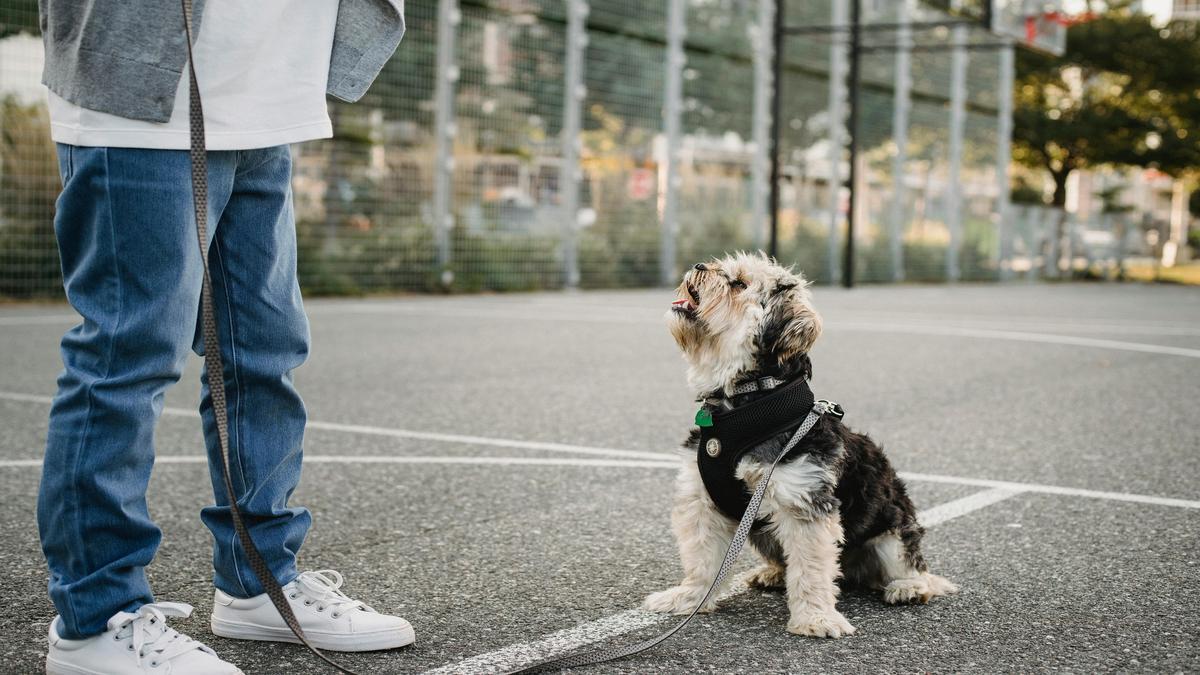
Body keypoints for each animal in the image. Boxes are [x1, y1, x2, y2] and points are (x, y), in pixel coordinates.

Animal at [648, 249, 955, 634]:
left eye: (739, 284)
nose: (699, 266)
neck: (746, 407)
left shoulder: (804, 504)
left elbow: (811, 569)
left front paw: (815, 617)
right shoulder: (702, 503)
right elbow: (702, 561)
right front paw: (689, 599)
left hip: (893, 530)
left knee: (910, 564)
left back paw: (909, 587)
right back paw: (772, 574)